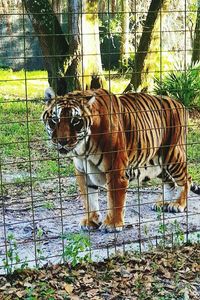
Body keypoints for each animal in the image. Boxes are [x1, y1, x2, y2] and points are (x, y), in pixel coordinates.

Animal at [42, 86, 200, 232]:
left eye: (75, 121)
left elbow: (114, 199)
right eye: (55, 120)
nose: (62, 141)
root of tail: (179, 103)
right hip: (155, 163)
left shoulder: (115, 171)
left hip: (172, 155)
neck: (83, 149)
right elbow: (88, 199)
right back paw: (162, 203)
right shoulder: (82, 172)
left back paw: (177, 204)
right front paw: (90, 221)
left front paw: (112, 225)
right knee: (170, 182)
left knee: (186, 179)